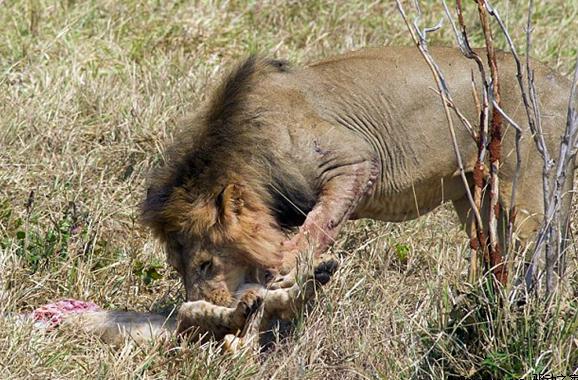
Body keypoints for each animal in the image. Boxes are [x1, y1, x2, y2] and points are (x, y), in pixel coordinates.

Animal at [142, 46, 572, 334]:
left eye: (205, 264)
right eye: (178, 268)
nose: (200, 317)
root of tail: (564, 82)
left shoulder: (356, 160)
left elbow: (318, 225)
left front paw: (289, 270)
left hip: (530, 191)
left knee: (543, 255)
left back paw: (531, 312)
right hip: (476, 198)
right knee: (494, 255)